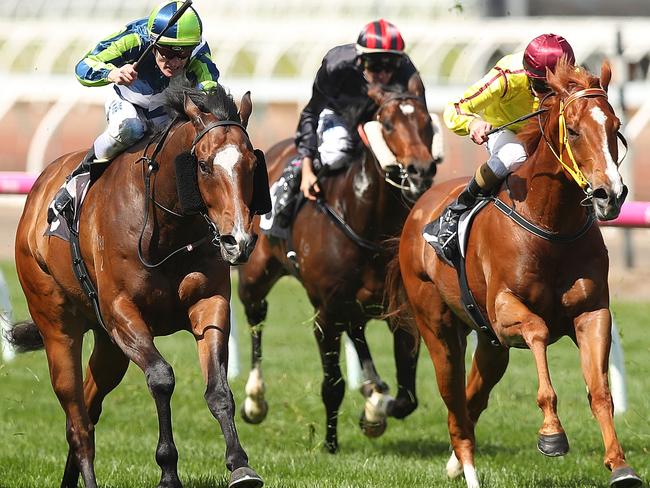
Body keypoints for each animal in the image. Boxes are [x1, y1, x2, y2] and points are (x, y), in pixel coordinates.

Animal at [6, 82, 266, 486]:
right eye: (204, 165)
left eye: (252, 166)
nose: (238, 241)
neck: (167, 228)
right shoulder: (123, 313)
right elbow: (161, 378)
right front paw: (168, 470)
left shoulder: (209, 303)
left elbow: (219, 389)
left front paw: (240, 464)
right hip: (58, 327)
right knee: (77, 420)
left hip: (109, 347)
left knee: (89, 405)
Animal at [235, 76, 438, 454]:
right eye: (388, 124)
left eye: (427, 123)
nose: (421, 170)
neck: (365, 220)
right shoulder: (325, 315)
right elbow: (333, 385)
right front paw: (331, 442)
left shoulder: (401, 311)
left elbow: (407, 397)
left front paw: (375, 409)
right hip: (254, 277)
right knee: (257, 317)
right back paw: (255, 399)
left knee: (357, 331)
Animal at [388, 58, 640, 488]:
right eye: (574, 130)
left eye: (614, 126)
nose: (611, 194)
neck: (550, 225)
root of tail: (419, 208)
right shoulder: (505, 312)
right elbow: (538, 331)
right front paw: (552, 434)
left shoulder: (591, 313)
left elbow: (600, 390)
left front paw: (620, 465)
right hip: (438, 328)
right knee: (454, 402)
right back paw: (468, 468)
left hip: (490, 345)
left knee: (474, 395)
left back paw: (456, 462)